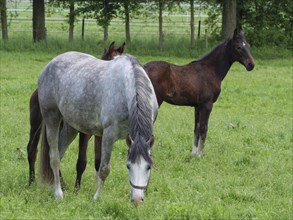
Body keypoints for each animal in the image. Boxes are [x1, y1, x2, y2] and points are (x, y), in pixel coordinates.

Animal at [38, 52, 159, 204]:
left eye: (148, 167)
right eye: (128, 165)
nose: (137, 201)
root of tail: (50, 65)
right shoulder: (109, 134)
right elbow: (104, 169)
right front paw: (96, 197)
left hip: (71, 127)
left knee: (59, 153)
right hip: (51, 116)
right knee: (54, 157)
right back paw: (58, 193)